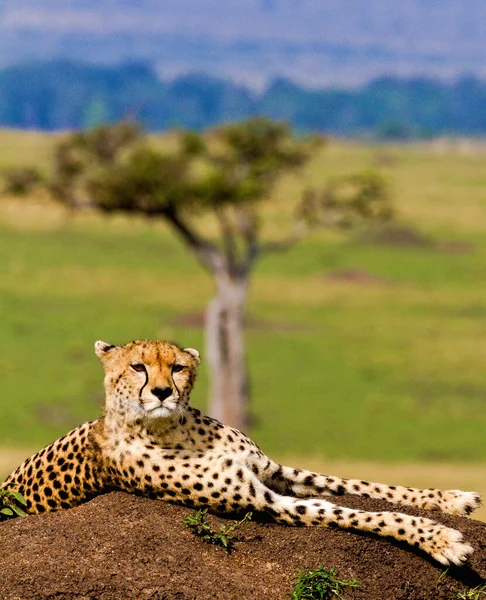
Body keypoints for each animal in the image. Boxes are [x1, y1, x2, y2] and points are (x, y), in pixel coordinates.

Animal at [4, 340, 482, 564]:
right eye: (138, 367)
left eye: (177, 367)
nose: (161, 392)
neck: (177, 429)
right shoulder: (265, 501)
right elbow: (356, 513)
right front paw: (439, 538)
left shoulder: (271, 470)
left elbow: (362, 486)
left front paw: (449, 499)